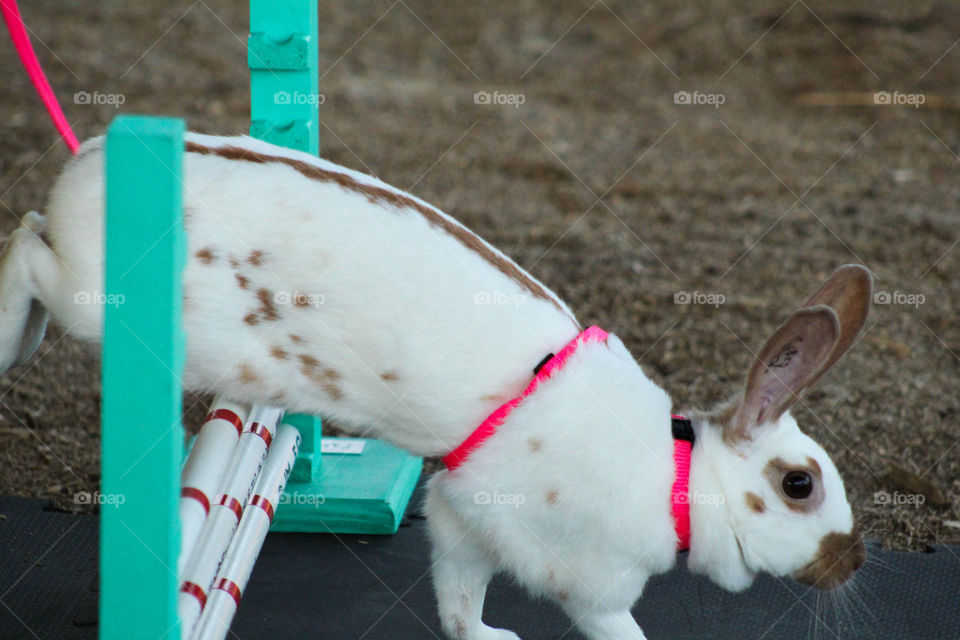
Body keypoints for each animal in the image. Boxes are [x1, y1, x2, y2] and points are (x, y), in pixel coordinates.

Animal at [0, 132, 869, 640]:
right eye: (799, 484)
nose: (855, 563)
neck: (681, 479)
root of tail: (90, 160)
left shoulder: (463, 523)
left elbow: (459, 605)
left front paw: (491, 638)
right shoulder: (591, 584)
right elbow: (618, 630)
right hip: (91, 301)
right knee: (25, 245)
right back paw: (12, 339)